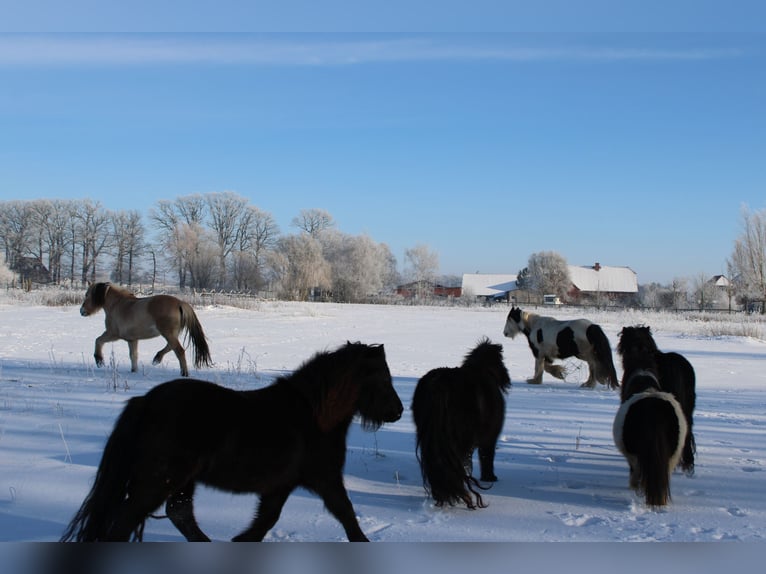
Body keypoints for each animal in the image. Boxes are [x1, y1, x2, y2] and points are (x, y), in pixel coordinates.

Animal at [60, 341, 403, 542]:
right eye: (381, 377)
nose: (398, 411)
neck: (314, 415)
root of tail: (145, 402)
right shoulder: (325, 478)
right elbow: (346, 514)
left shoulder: (281, 485)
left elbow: (264, 522)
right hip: (158, 481)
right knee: (126, 523)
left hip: (180, 481)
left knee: (180, 514)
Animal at [80, 282, 212, 377]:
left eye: (87, 295)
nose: (82, 311)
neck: (117, 305)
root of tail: (180, 303)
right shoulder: (132, 340)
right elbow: (133, 355)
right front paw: (134, 371)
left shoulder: (113, 334)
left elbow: (98, 340)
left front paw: (99, 360)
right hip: (172, 333)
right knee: (171, 347)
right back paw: (157, 358)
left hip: (168, 333)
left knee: (179, 350)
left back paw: (184, 373)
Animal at [411, 337, 511, 509]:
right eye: (502, 361)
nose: (507, 378)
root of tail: (439, 385)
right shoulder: (489, 437)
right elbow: (487, 457)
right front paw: (490, 477)